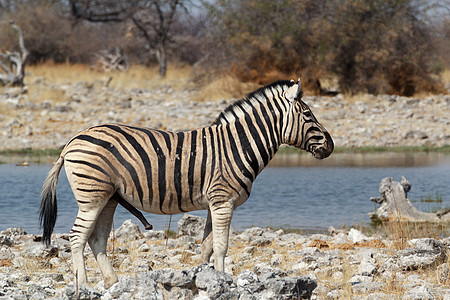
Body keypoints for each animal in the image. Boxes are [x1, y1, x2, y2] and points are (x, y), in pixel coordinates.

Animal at [39, 78, 334, 290]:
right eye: (308, 114)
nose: (331, 146)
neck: (237, 145)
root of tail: (72, 140)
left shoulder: (214, 204)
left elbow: (207, 245)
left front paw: (206, 277)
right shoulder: (223, 201)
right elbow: (222, 245)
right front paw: (225, 280)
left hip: (108, 197)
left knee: (96, 238)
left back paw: (112, 282)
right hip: (92, 196)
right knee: (77, 237)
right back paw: (84, 284)